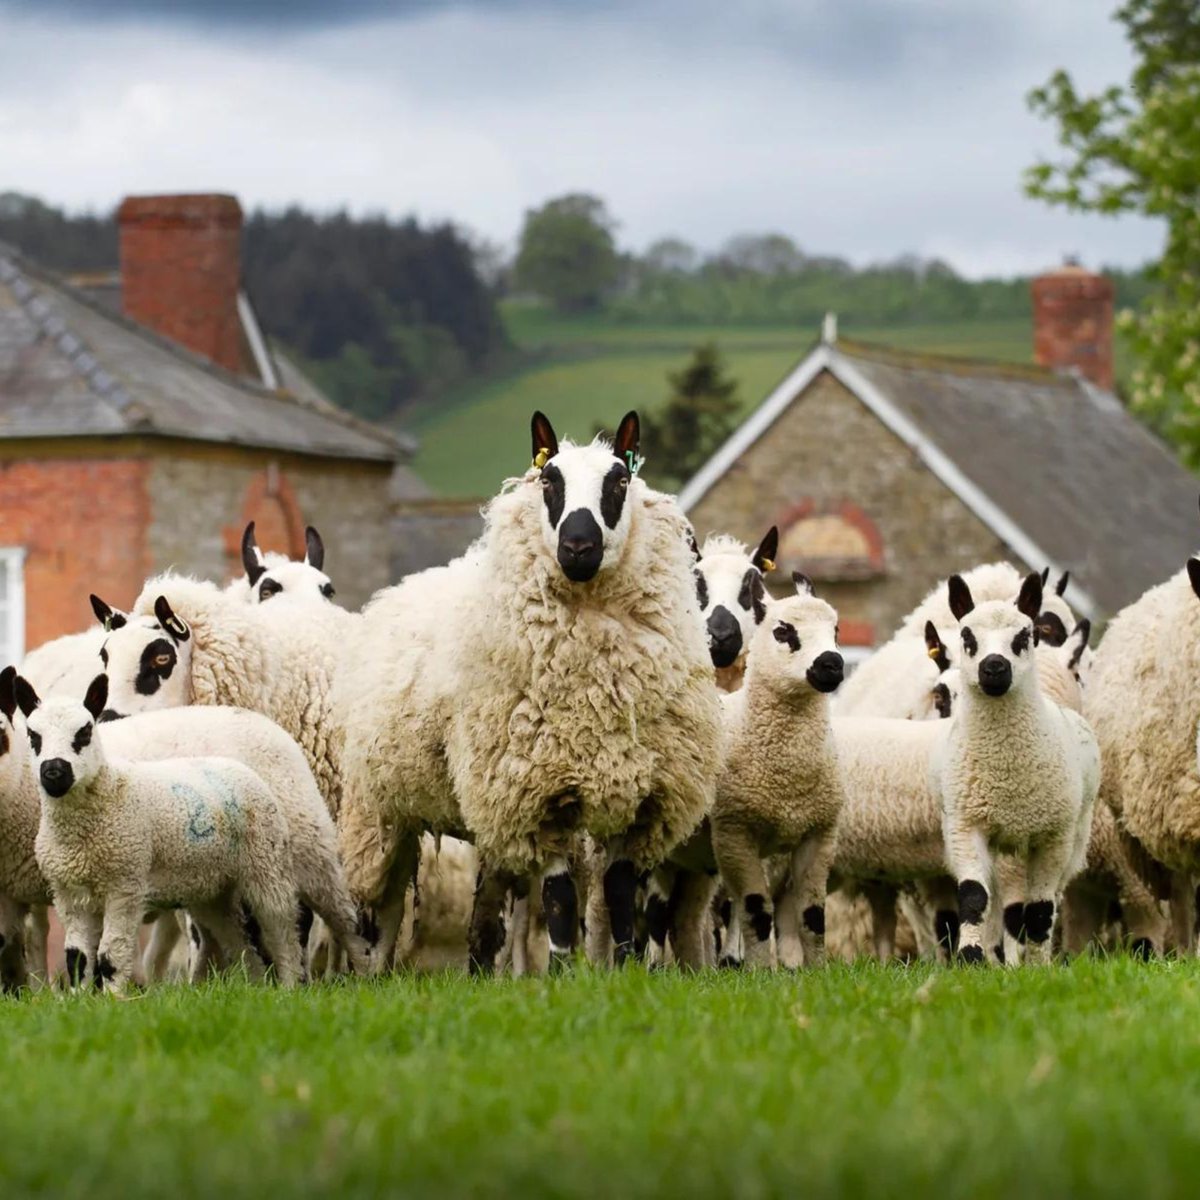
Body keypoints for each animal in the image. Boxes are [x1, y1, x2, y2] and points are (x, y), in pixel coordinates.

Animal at [19, 673, 303, 990]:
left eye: (85, 732)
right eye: (33, 736)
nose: (54, 773)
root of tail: (234, 766)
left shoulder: (125, 886)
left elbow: (110, 956)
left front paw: (112, 998)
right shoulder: (69, 895)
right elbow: (76, 959)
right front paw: (79, 996)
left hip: (267, 864)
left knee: (283, 931)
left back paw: (290, 986)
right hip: (213, 889)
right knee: (239, 940)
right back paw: (254, 987)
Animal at [336, 410, 722, 973]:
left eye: (619, 481)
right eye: (549, 482)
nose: (578, 548)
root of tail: (394, 592)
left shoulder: (640, 797)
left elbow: (620, 893)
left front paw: (627, 968)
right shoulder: (541, 791)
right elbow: (560, 897)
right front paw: (560, 971)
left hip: (481, 812)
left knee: (481, 916)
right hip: (381, 809)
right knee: (381, 907)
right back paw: (374, 973)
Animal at [711, 573, 845, 968]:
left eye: (836, 629)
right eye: (783, 631)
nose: (832, 663)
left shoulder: (819, 834)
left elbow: (812, 915)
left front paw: (817, 970)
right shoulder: (734, 831)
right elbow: (756, 910)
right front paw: (758, 971)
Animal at [933, 571, 1099, 965]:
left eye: (1024, 636)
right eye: (967, 637)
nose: (994, 667)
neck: (1004, 769)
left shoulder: (1052, 837)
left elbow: (1039, 910)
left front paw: (1038, 967)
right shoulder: (966, 827)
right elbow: (973, 897)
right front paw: (971, 959)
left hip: (1071, 839)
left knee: (1049, 900)